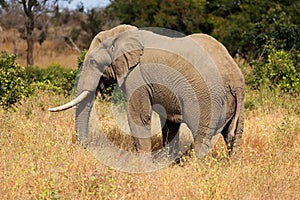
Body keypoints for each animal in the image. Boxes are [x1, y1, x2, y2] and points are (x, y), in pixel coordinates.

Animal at [48, 25, 244, 160]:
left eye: (93, 62)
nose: (87, 148)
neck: (120, 34)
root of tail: (234, 78)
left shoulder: (136, 76)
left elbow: (139, 116)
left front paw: (141, 164)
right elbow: (169, 122)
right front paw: (167, 161)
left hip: (206, 97)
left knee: (201, 135)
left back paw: (197, 168)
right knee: (234, 135)